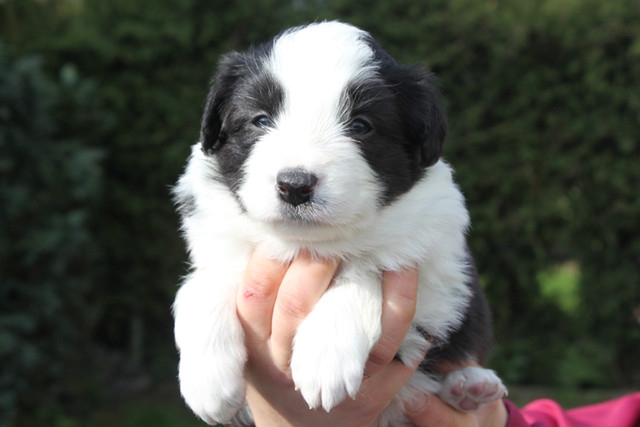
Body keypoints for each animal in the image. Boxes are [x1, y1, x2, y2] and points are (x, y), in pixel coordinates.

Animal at [173, 21, 506, 426]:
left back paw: (471, 385)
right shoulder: (221, 243)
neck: (308, 244)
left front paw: (326, 356)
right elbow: (198, 286)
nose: (295, 185)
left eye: (361, 125)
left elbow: (365, 269)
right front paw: (208, 381)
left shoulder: (440, 273)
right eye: (260, 120)